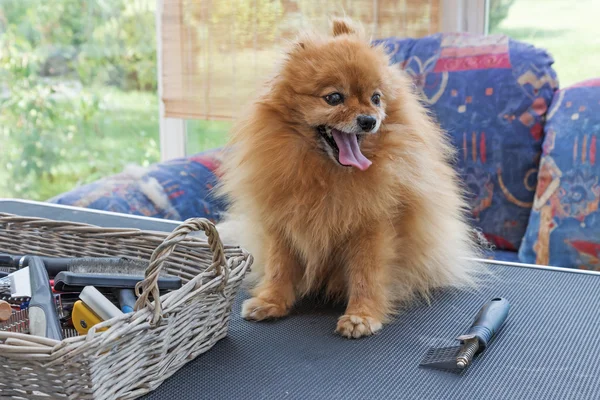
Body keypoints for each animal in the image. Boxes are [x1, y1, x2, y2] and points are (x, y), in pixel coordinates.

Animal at [216, 18, 478, 338]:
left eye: (376, 98)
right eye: (334, 98)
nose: (369, 120)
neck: (327, 175)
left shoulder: (372, 227)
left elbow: (367, 273)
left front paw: (361, 316)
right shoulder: (283, 223)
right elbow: (280, 266)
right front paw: (271, 301)